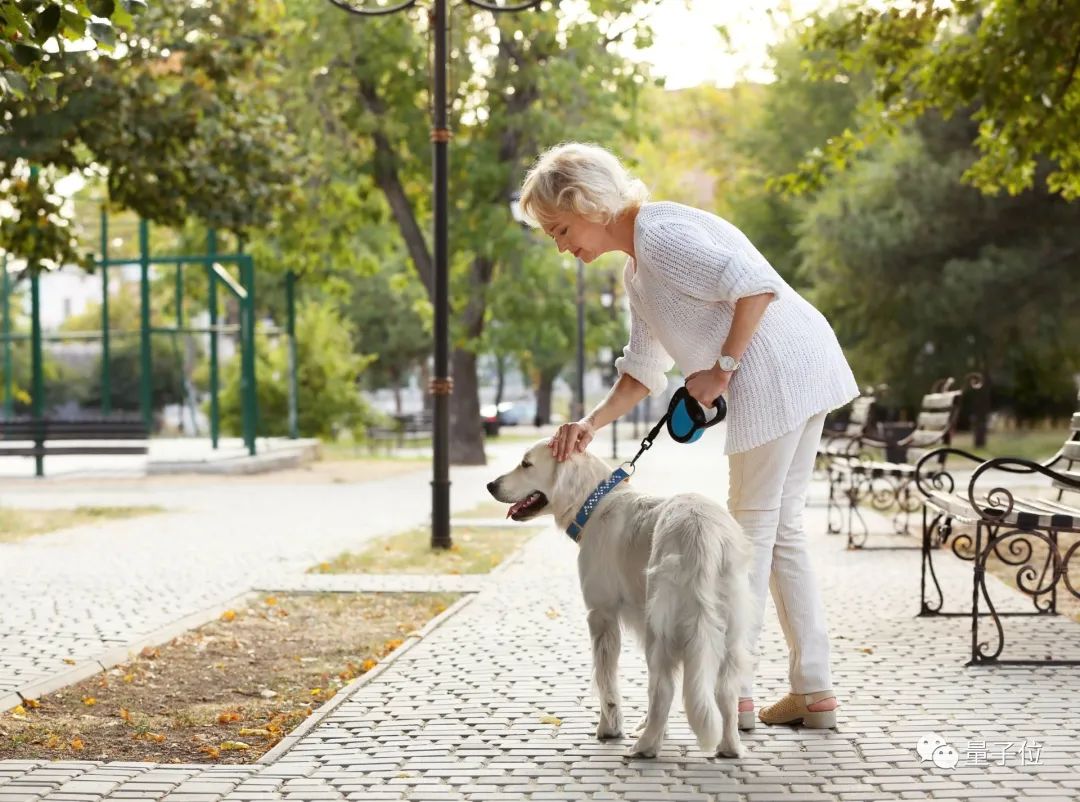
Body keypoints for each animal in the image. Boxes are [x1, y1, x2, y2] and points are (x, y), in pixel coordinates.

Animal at [486, 438, 747, 759]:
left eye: (526, 464)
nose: (490, 485)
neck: (595, 504)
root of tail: (703, 530)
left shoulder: (601, 614)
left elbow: (605, 679)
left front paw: (610, 727)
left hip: (660, 625)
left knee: (664, 688)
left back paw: (645, 747)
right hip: (729, 627)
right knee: (725, 689)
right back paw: (729, 746)